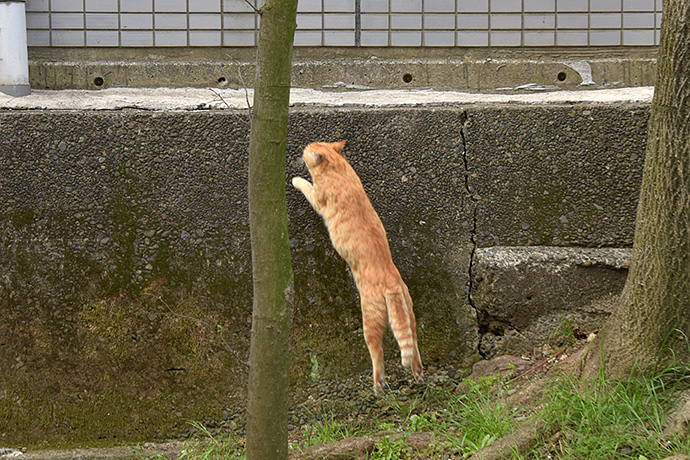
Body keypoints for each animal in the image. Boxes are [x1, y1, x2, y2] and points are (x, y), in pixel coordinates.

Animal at [288, 140, 422, 392]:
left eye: (306, 151)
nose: (301, 150)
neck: (338, 169)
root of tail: (392, 283)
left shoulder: (318, 197)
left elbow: (306, 185)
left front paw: (296, 179)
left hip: (370, 319)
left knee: (377, 352)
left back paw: (378, 385)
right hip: (410, 313)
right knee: (415, 343)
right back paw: (418, 375)